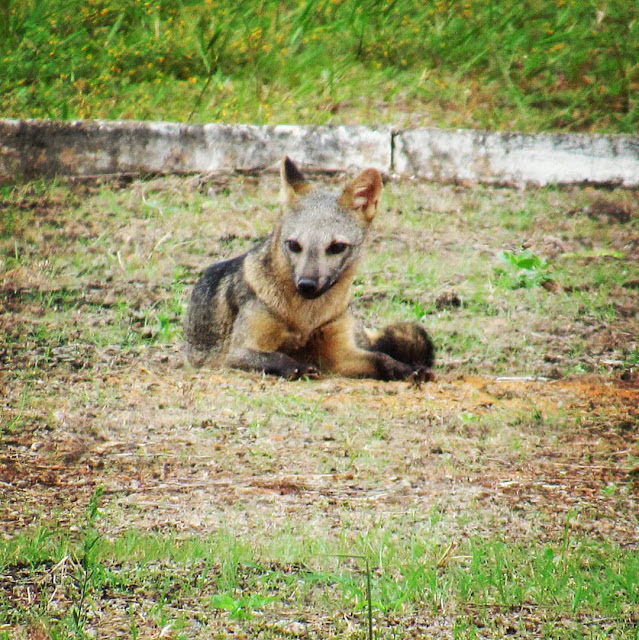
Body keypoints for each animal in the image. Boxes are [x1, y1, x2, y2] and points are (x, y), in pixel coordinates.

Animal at [185, 158, 436, 382]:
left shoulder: (339, 355)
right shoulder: (237, 352)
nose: (306, 285)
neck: (306, 319)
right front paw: (298, 367)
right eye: (294, 245)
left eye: (336, 247)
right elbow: (276, 357)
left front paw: (407, 369)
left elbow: (382, 358)